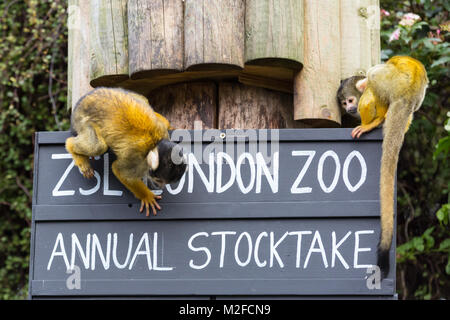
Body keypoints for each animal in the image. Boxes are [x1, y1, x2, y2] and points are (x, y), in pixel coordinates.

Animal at [66, 87, 187, 216]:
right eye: (159, 180)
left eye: (166, 183)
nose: (160, 187)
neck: (155, 145)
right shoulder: (135, 156)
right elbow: (119, 171)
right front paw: (147, 196)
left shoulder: (162, 131)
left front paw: (169, 125)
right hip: (81, 121)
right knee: (98, 146)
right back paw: (73, 148)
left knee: (142, 100)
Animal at [342, 56, 428, 276]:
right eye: (344, 103)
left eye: (349, 101)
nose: (348, 108)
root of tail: (409, 93)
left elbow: (366, 90)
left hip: (393, 81)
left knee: (373, 76)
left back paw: (375, 120)